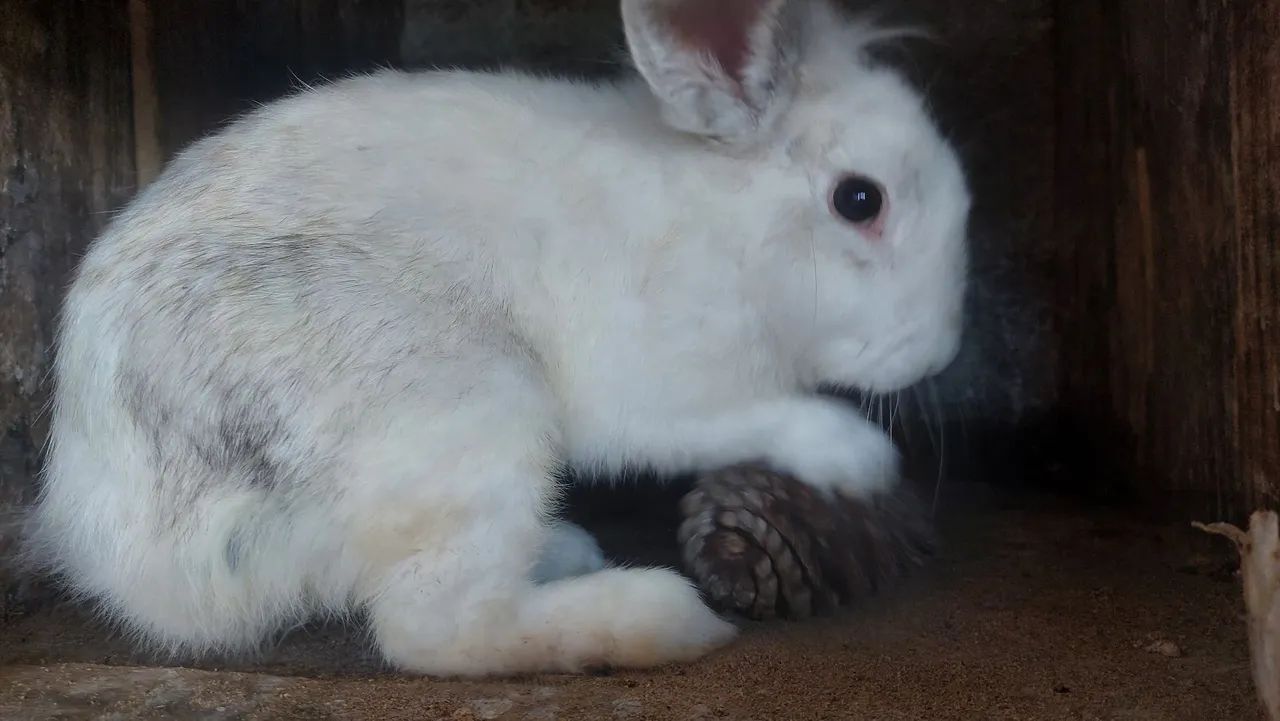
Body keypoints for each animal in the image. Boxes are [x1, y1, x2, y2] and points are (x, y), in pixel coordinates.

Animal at [26, 0, 969, 677]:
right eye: (859, 199)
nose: (939, 352)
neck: (729, 222)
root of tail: (136, 554)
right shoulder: (664, 386)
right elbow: (751, 417)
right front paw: (859, 459)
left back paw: (572, 552)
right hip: (466, 405)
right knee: (433, 626)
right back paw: (663, 618)